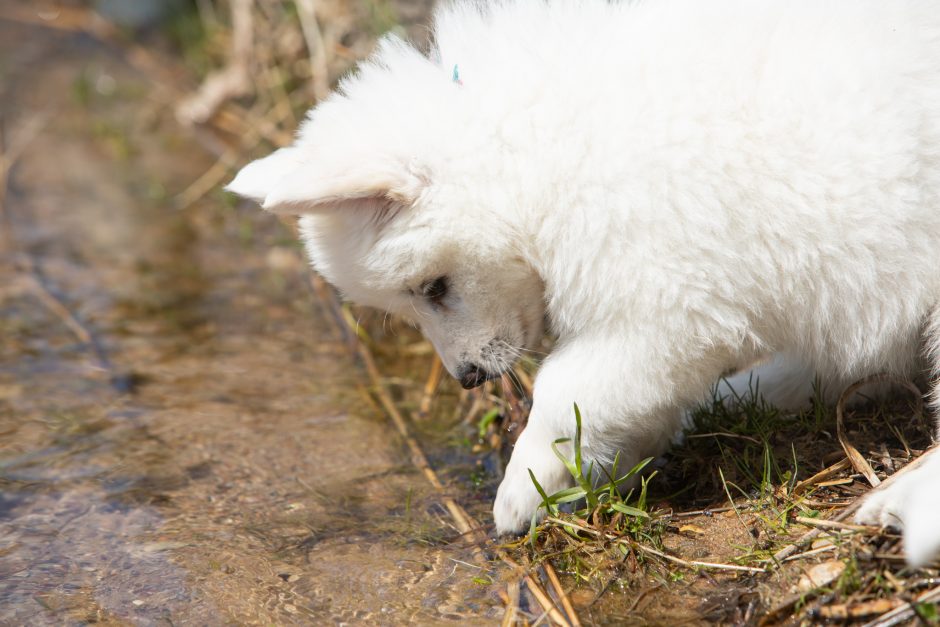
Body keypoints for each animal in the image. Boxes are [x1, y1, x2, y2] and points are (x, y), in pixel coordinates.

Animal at [228, 0, 940, 568]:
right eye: (419, 299)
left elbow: (567, 391)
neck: (530, 157)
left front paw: (522, 492)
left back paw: (908, 508)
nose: (467, 379)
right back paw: (754, 392)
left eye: (434, 288)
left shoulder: (661, 308)